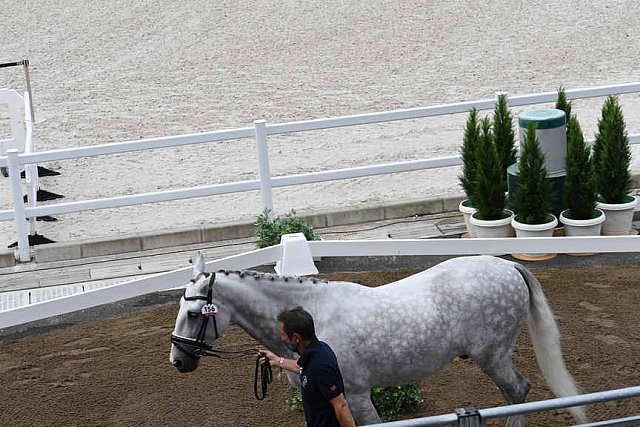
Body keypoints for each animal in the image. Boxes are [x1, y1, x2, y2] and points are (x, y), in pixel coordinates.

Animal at [169, 256, 584, 426]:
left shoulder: (353, 395)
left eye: (195, 314)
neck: (316, 319)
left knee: (518, 389)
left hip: (493, 355)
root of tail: (506, 265)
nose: (178, 360)